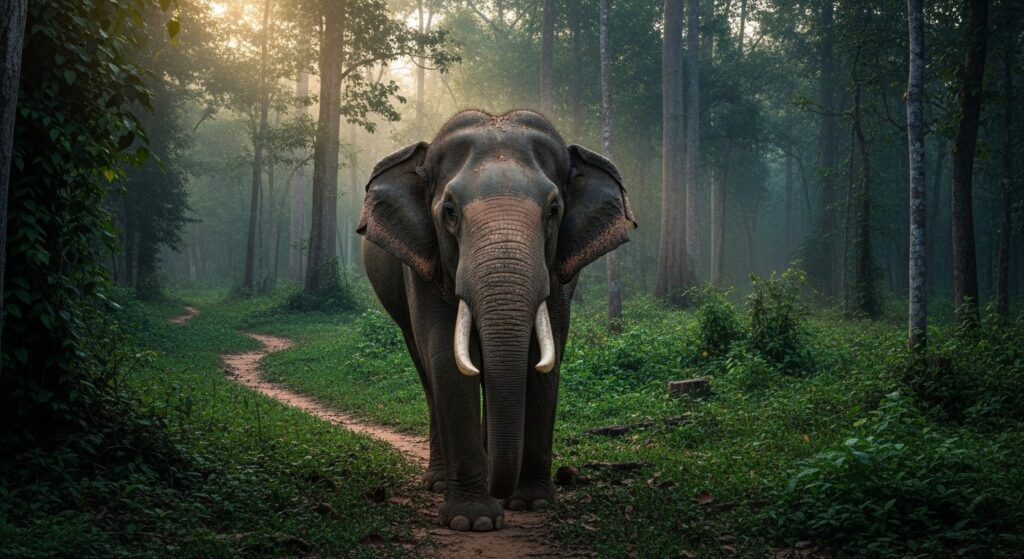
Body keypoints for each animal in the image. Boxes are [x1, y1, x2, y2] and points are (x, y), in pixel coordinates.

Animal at [358, 109, 635, 532]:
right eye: (449, 211)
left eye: (554, 210)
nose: (499, 491)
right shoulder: (424, 265)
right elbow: (445, 359)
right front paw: (472, 520)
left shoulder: (557, 274)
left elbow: (543, 357)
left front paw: (532, 502)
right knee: (426, 370)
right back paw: (439, 482)